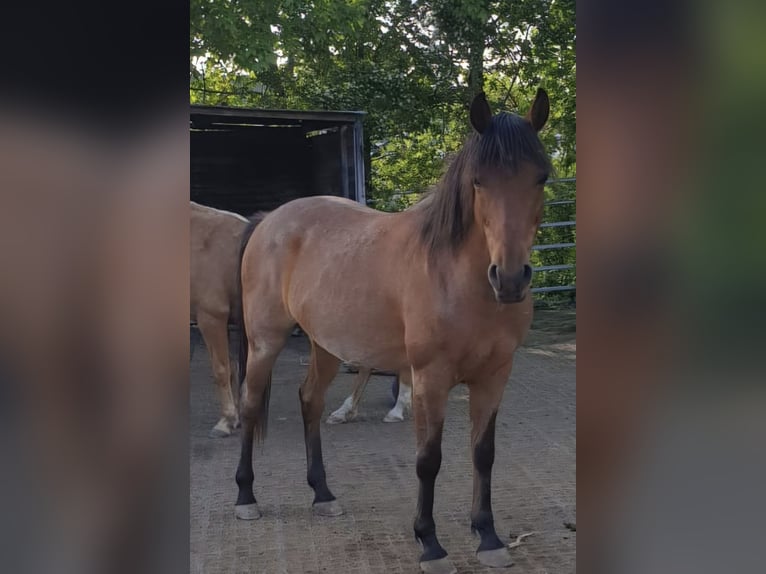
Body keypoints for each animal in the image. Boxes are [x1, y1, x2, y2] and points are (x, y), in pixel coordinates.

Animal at [234, 89, 552, 574]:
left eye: (541, 177)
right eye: (478, 181)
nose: (511, 279)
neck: (458, 278)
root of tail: (269, 220)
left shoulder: (495, 376)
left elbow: (484, 454)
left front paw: (489, 537)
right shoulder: (429, 378)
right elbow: (428, 459)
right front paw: (430, 543)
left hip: (326, 346)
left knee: (310, 401)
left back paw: (322, 495)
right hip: (264, 342)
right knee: (251, 406)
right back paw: (246, 497)